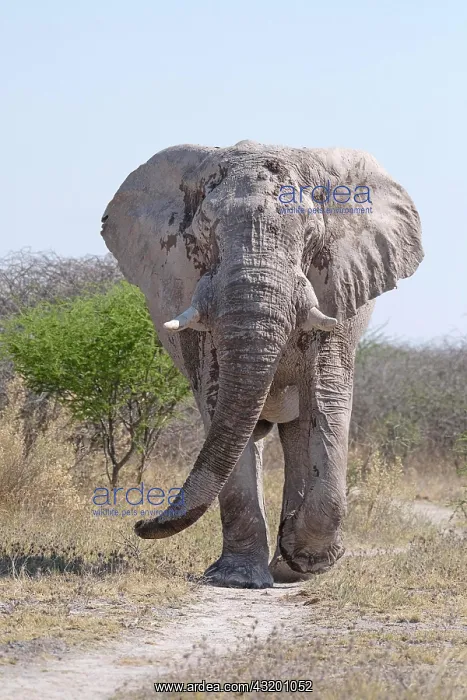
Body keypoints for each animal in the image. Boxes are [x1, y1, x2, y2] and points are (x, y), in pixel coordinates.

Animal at [101, 140, 423, 589]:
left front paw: (305, 559)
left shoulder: (334, 288)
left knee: (300, 428)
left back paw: (289, 564)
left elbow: (328, 397)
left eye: (311, 235)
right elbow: (218, 399)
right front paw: (236, 580)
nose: (140, 523)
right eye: (203, 234)